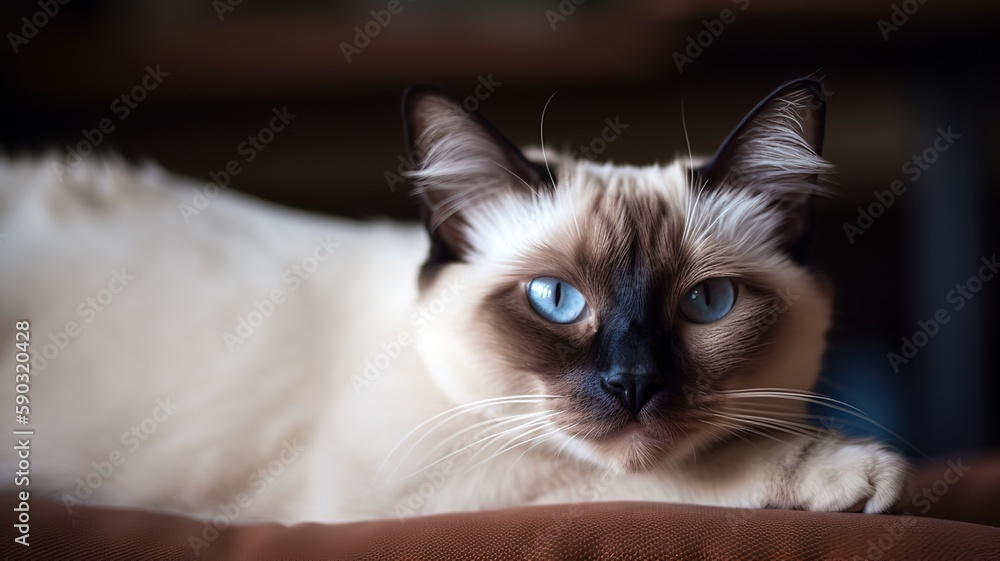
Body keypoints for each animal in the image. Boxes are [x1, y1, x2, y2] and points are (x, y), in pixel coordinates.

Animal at [0, 79, 908, 524]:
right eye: (554, 298)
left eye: (708, 303)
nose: (633, 384)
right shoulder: (408, 500)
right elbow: (661, 481)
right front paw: (846, 470)